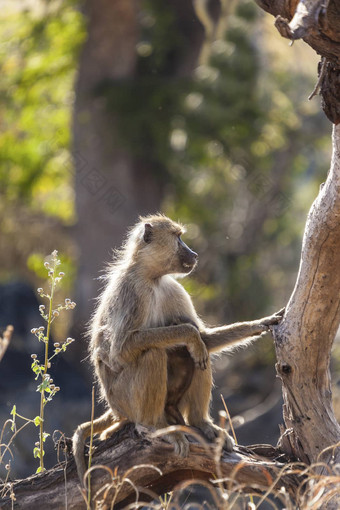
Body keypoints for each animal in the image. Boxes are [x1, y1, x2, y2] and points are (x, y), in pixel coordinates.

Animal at [72, 214, 284, 482]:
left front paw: (262, 323)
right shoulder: (130, 292)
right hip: (124, 398)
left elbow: (205, 340)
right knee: (154, 354)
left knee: (199, 357)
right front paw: (188, 334)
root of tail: (115, 410)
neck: (151, 278)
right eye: (178, 237)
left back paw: (200, 422)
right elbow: (121, 349)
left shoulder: (173, 289)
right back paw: (155, 426)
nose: (194, 254)